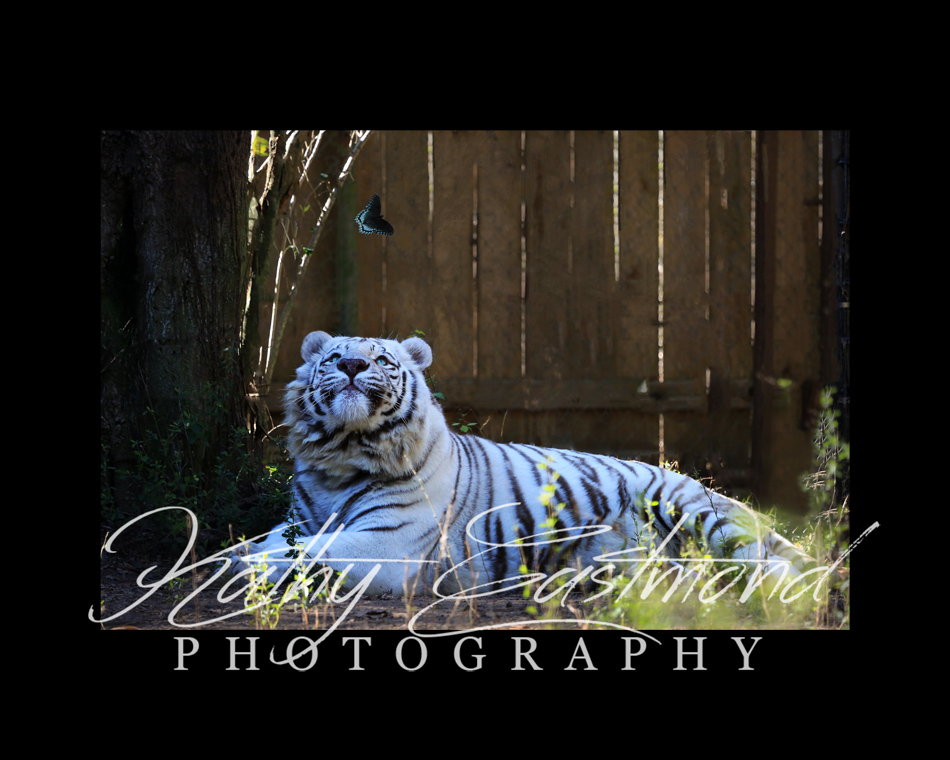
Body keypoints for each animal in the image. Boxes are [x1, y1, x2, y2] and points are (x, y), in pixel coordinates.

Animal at [227, 331, 817, 598]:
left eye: (382, 361)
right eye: (333, 358)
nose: (351, 365)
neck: (343, 457)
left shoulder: (389, 544)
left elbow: (310, 551)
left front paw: (246, 567)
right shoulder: (297, 520)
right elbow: (266, 542)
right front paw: (229, 559)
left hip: (694, 508)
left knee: (766, 560)